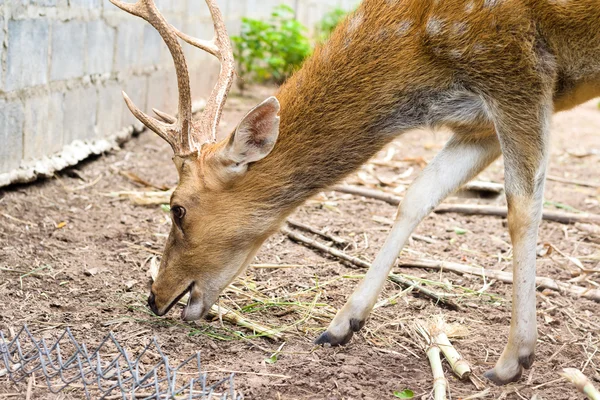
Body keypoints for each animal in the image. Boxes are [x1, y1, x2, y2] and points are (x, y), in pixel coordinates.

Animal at [110, 0, 600, 386]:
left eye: (177, 208)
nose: (155, 298)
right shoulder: (477, 123)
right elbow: (416, 195)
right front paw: (340, 326)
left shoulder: (518, 73)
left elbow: (522, 210)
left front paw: (512, 359)